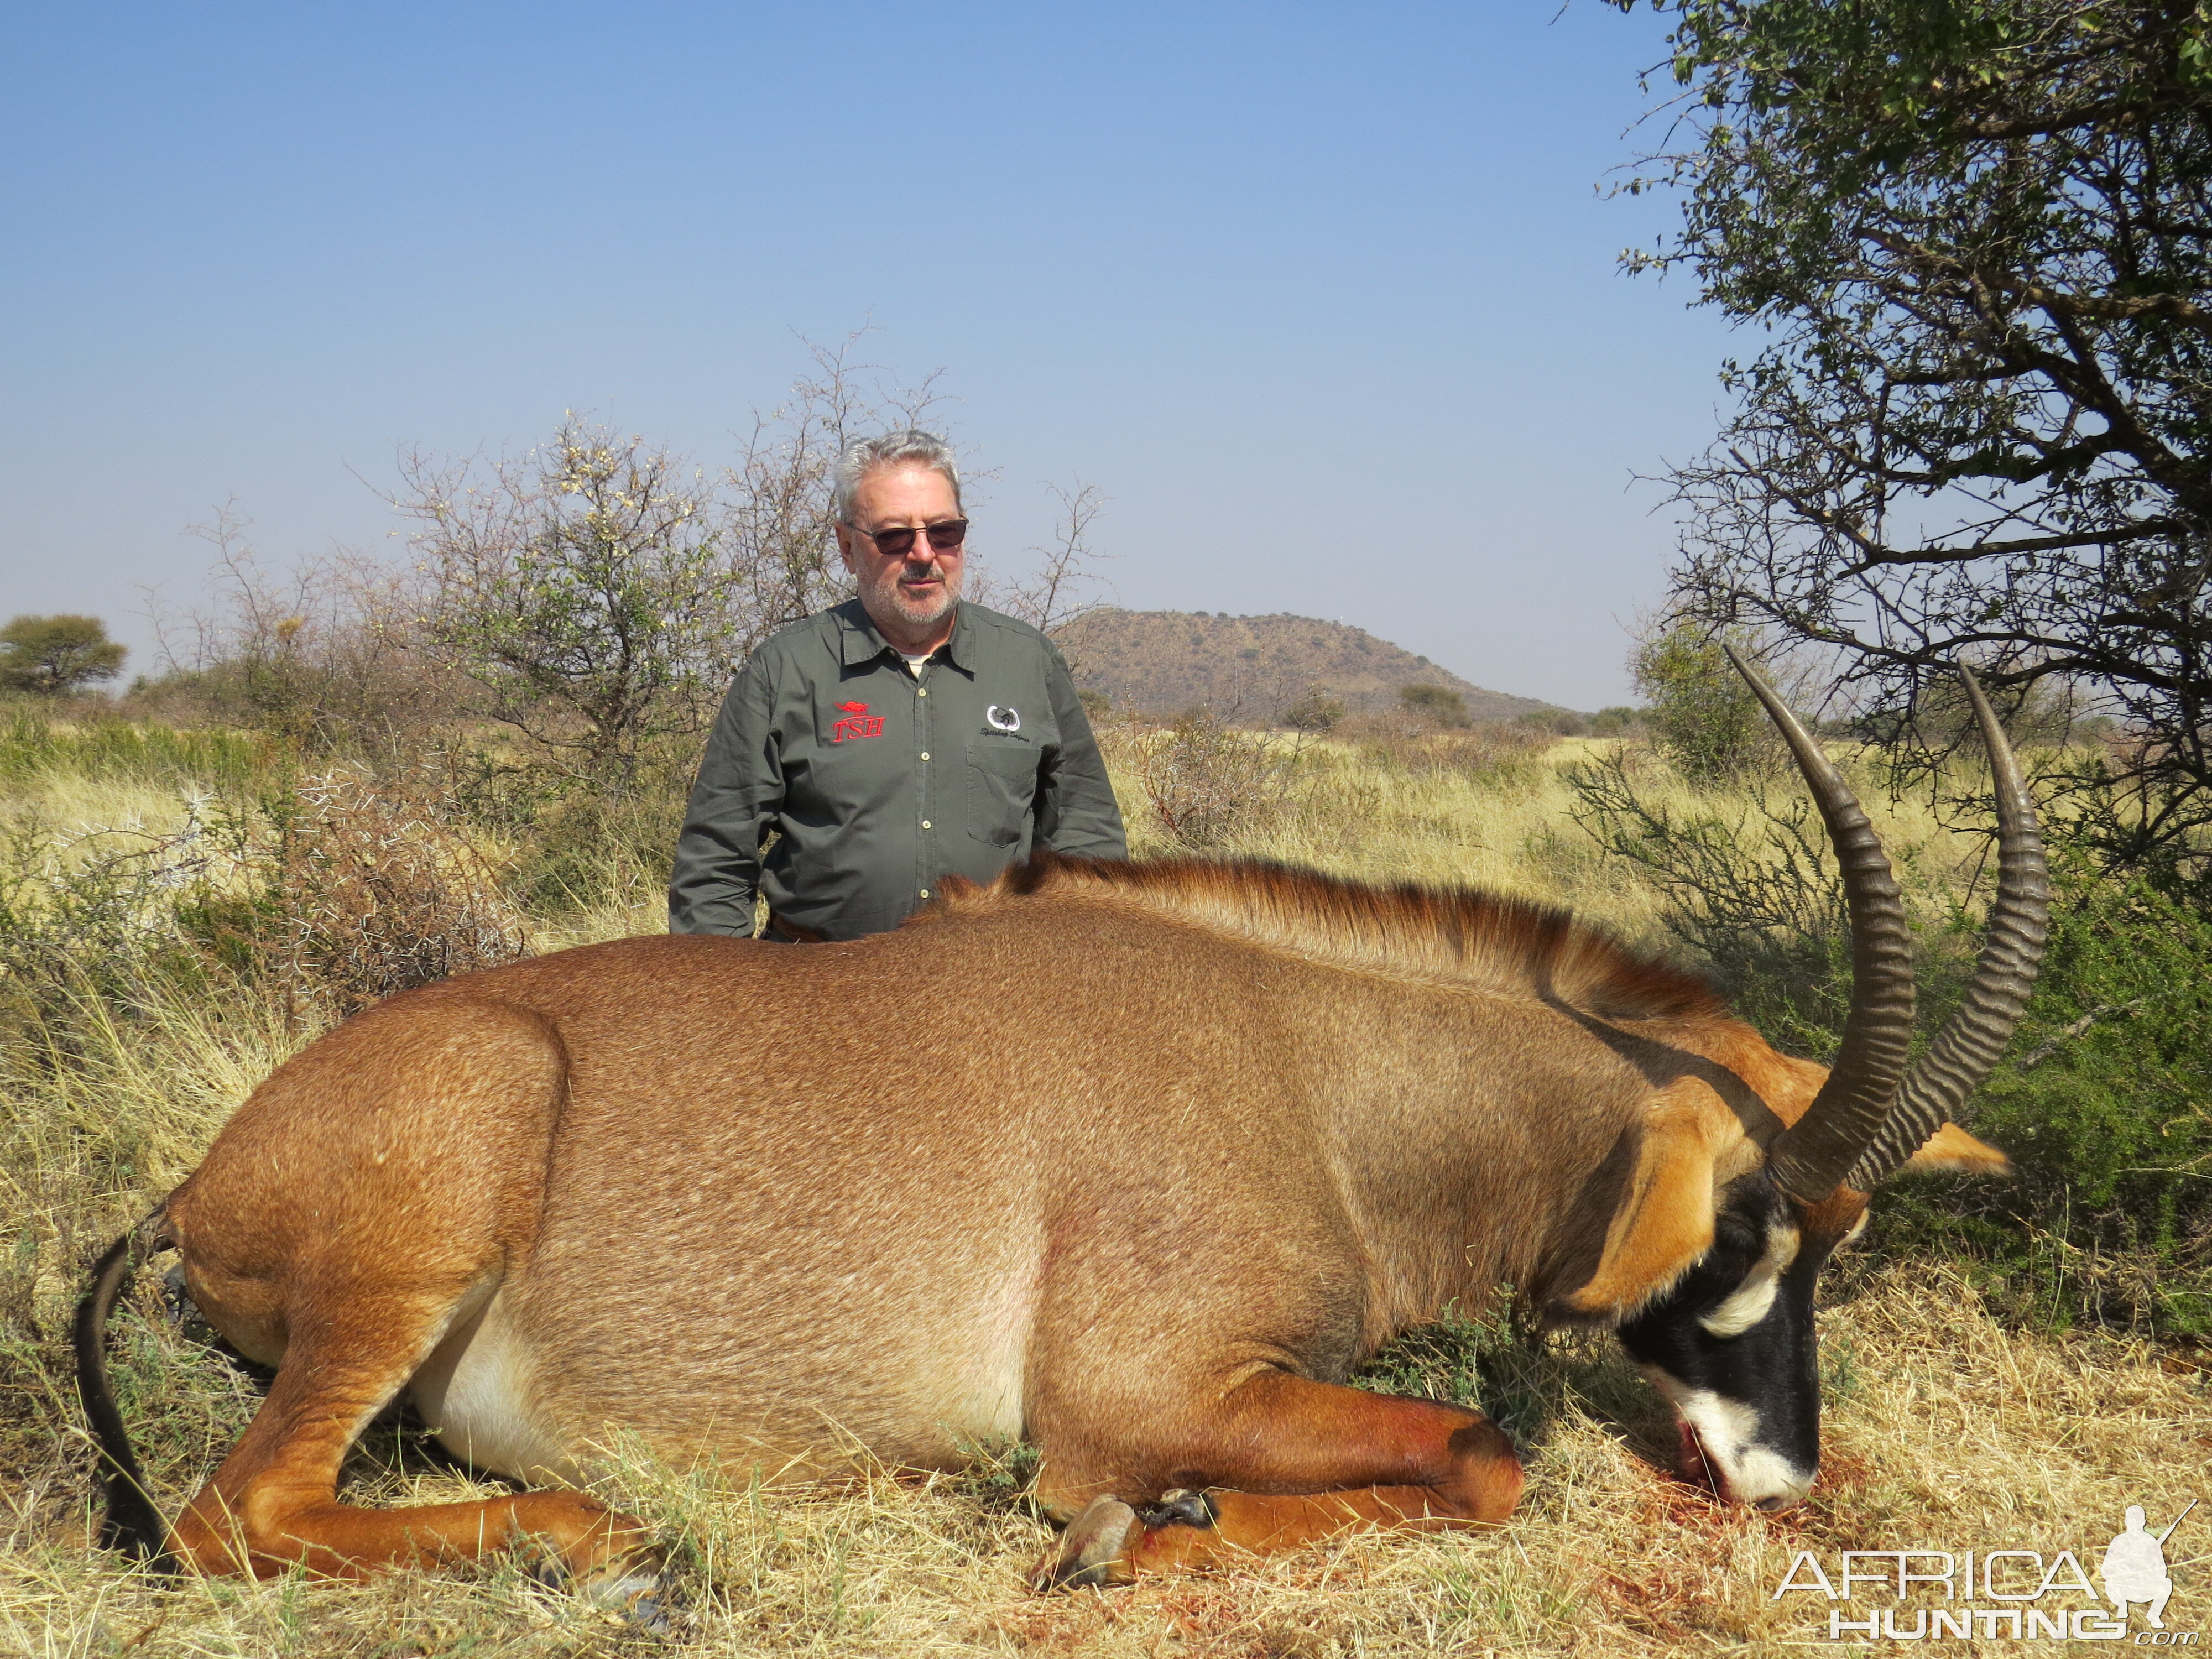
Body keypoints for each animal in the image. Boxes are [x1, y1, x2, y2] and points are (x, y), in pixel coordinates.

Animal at [78, 659, 2044, 1601]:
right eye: (1737, 1237)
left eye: (1841, 1252)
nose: (1782, 1478)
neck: (1314, 1071)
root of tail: (199, 1178)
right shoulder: (1138, 1389)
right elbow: (1486, 1456)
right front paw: (1135, 1535)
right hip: (432, 1220)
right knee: (236, 1510)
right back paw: (599, 1539)